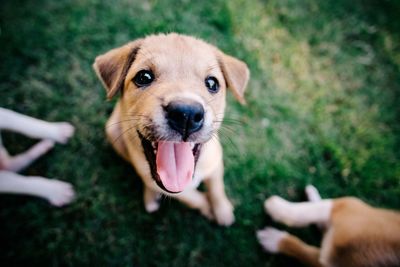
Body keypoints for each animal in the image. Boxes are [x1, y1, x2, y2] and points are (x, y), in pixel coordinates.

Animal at [94, 33, 250, 226]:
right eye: (143, 77)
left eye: (212, 83)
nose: (186, 114)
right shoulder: (169, 188)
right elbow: (192, 197)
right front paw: (208, 208)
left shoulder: (215, 161)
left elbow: (217, 188)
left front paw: (223, 212)